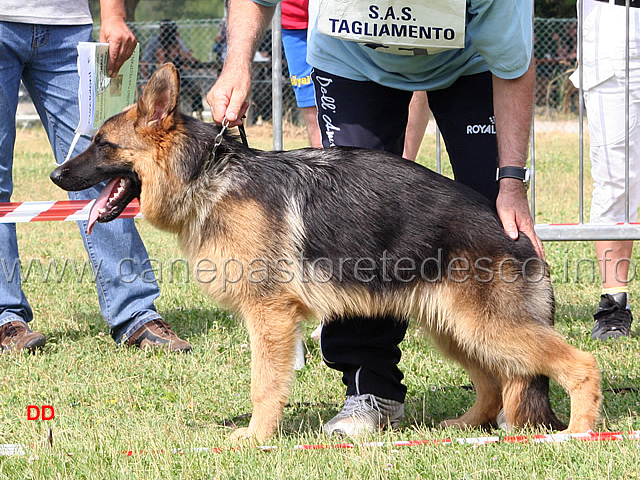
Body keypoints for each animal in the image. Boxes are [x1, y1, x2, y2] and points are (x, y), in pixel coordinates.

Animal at [50, 64, 600, 442]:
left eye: (102, 144)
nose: (55, 175)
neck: (209, 176)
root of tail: (517, 231)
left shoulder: (270, 316)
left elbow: (265, 383)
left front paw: (256, 438)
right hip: (455, 327)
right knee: (492, 383)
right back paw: (463, 425)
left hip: (487, 327)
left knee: (578, 363)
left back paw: (579, 431)